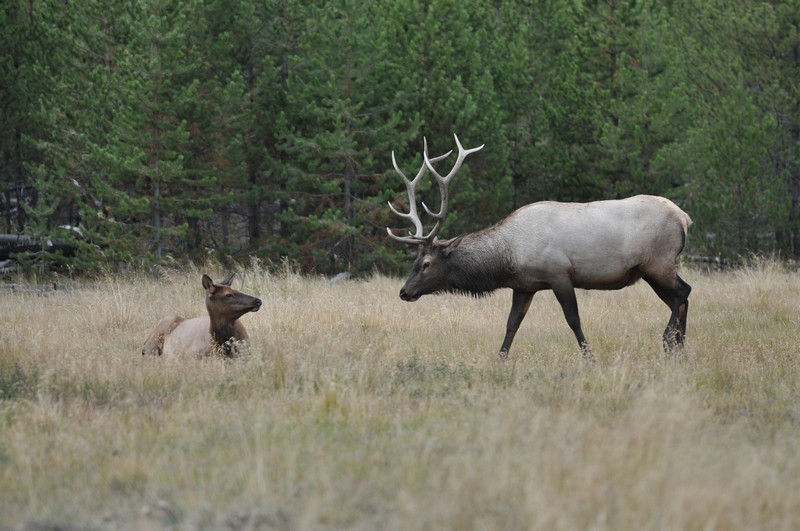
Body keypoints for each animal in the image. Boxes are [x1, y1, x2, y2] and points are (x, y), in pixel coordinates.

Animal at [386, 134, 692, 359]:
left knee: (683, 292)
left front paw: (590, 358)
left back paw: (669, 341)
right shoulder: (524, 285)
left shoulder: (559, 274)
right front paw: (500, 359)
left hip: (658, 262)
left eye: (426, 264)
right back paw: (679, 346)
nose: (403, 292)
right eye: (414, 262)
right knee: (680, 298)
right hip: (649, 271)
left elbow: (573, 320)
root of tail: (684, 218)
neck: (508, 257)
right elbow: (512, 324)